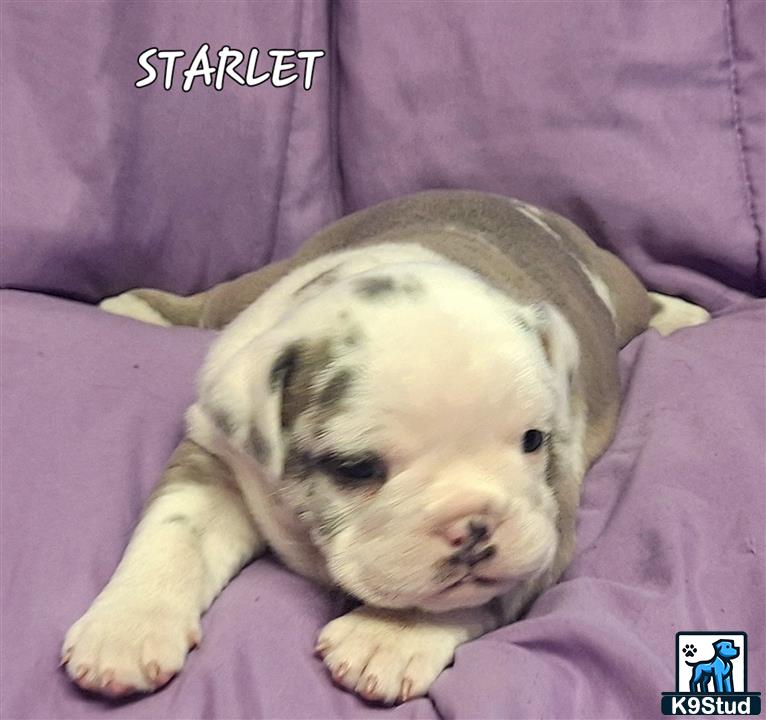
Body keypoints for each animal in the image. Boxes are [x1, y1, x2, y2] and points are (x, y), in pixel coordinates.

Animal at [63, 190, 712, 704]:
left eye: (533, 440)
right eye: (356, 468)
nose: (474, 524)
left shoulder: (549, 522)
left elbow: (474, 592)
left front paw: (388, 636)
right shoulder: (218, 459)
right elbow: (174, 534)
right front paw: (126, 625)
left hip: (613, 291)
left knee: (637, 298)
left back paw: (680, 313)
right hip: (263, 282)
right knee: (214, 300)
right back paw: (135, 306)